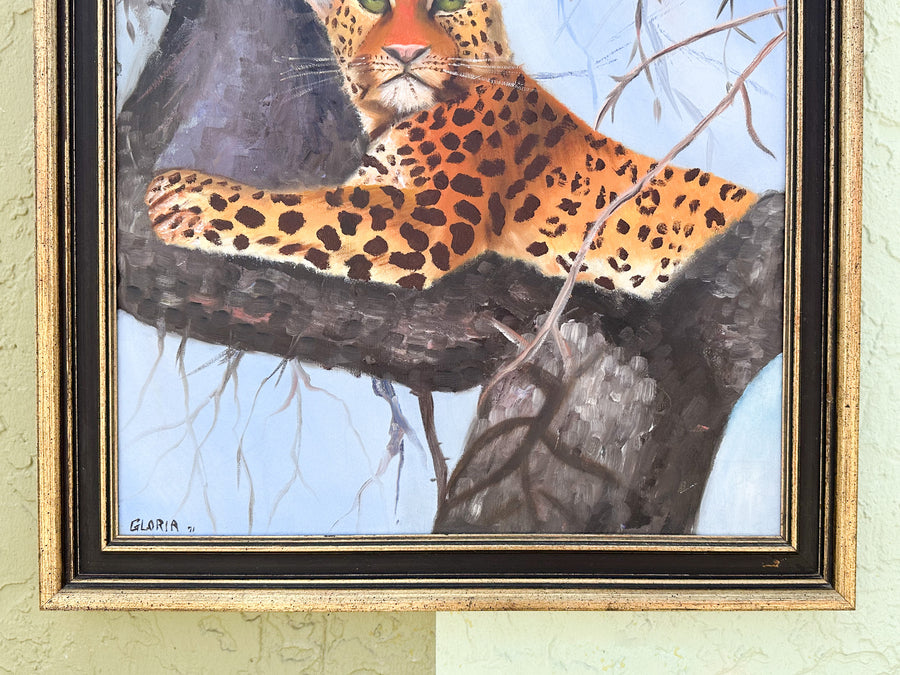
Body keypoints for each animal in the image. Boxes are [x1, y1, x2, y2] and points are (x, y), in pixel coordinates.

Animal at [146, 0, 756, 298]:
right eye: (372, 1)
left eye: (450, 1)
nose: (406, 51)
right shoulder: (378, 179)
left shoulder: (436, 216)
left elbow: (303, 208)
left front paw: (185, 196)